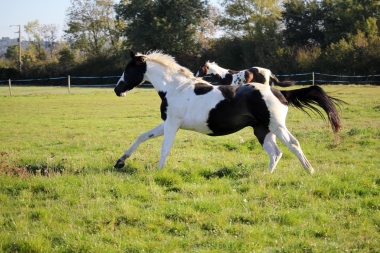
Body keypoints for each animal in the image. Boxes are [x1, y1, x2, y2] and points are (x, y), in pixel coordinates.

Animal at [114, 51, 342, 174]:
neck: (174, 87)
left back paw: (310, 170)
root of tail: (279, 92)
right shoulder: (166, 123)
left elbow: (164, 149)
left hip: (276, 126)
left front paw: (158, 172)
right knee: (275, 152)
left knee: (293, 144)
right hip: (262, 130)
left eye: (128, 69)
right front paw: (120, 161)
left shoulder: (172, 124)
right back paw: (265, 175)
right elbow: (142, 137)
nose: (117, 90)